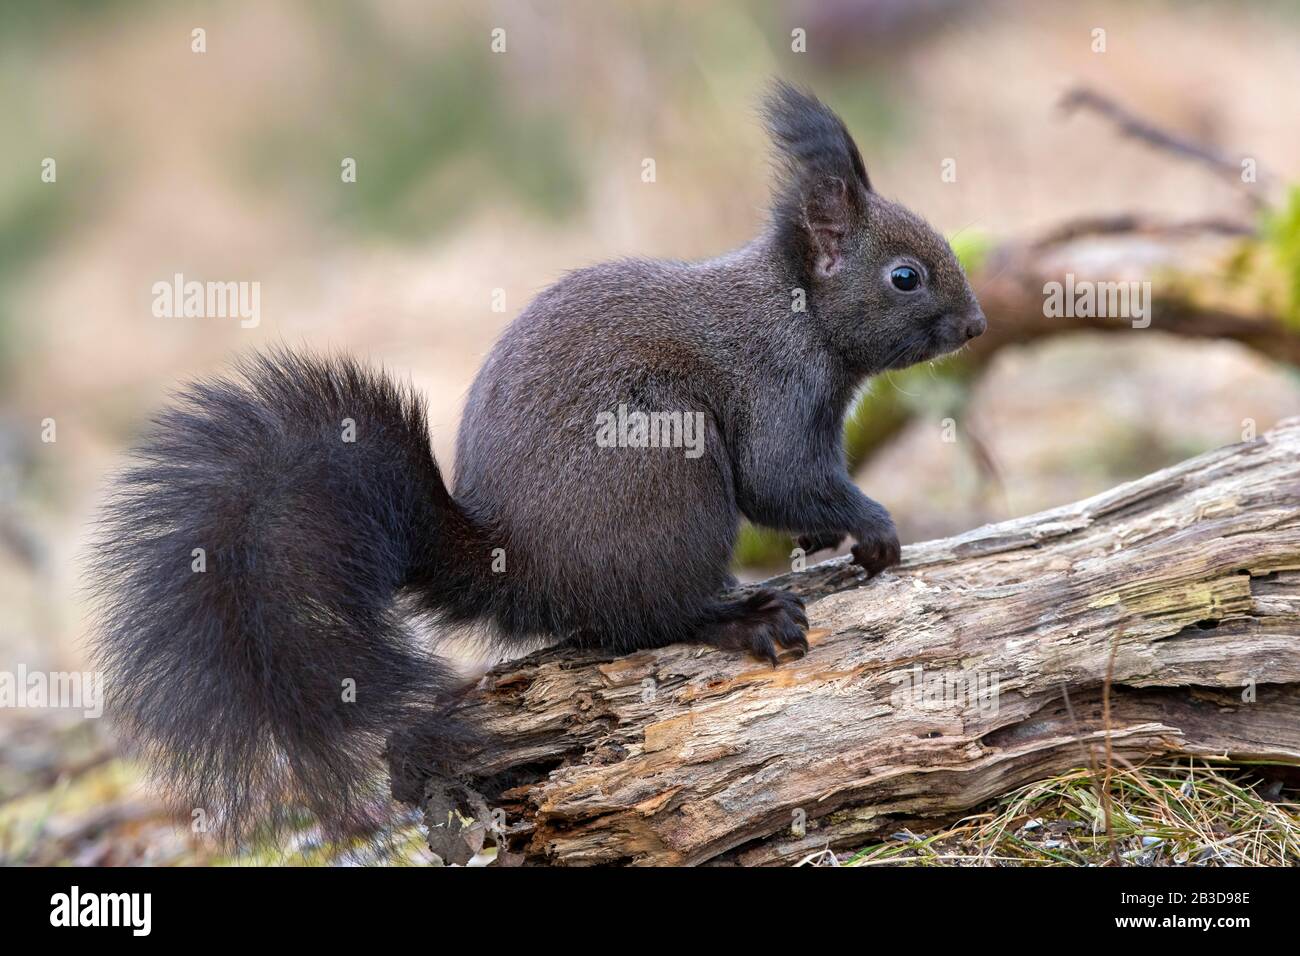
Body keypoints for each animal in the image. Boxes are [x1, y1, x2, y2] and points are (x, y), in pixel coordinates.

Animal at [91, 83, 982, 842]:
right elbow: (782, 481)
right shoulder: (776, 390)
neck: (798, 312)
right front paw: (873, 528)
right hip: (662, 467)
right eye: (905, 276)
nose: (976, 325)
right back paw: (741, 618)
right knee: (649, 618)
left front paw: (828, 542)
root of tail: (518, 567)